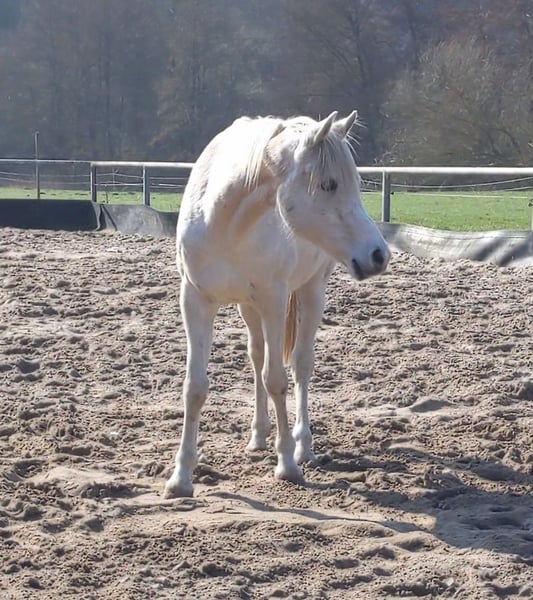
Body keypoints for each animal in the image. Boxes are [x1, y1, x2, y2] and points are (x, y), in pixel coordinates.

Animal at [164, 111, 391, 498]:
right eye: (328, 184)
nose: (378, 255)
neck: (226, 222)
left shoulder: (274, 300)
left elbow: (278, 380)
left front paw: (286, 465)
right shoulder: (195, 300)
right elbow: (195, 387)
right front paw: (181, 477)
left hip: (312, 291)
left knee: (301, 365)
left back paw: (303, 447)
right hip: (248, 307)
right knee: (256, 357)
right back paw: (258, 436)